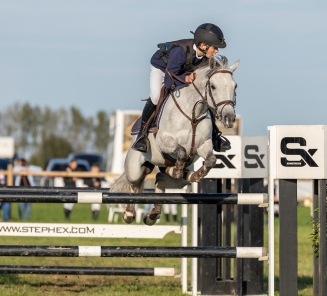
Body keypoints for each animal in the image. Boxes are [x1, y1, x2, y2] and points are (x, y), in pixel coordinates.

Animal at [109, 55, 238, 225]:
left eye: (235, 86)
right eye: (213, 86)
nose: (229, 118)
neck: (193, 113)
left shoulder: (203, 145)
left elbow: (211, 160)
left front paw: (195, 175)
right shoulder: (164, 141)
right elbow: (181, 152)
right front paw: (178, 169)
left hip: (174, 180)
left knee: (160, 179)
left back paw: (155, 211)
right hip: (135, 168)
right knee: (134, 184)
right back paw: (129, 213)